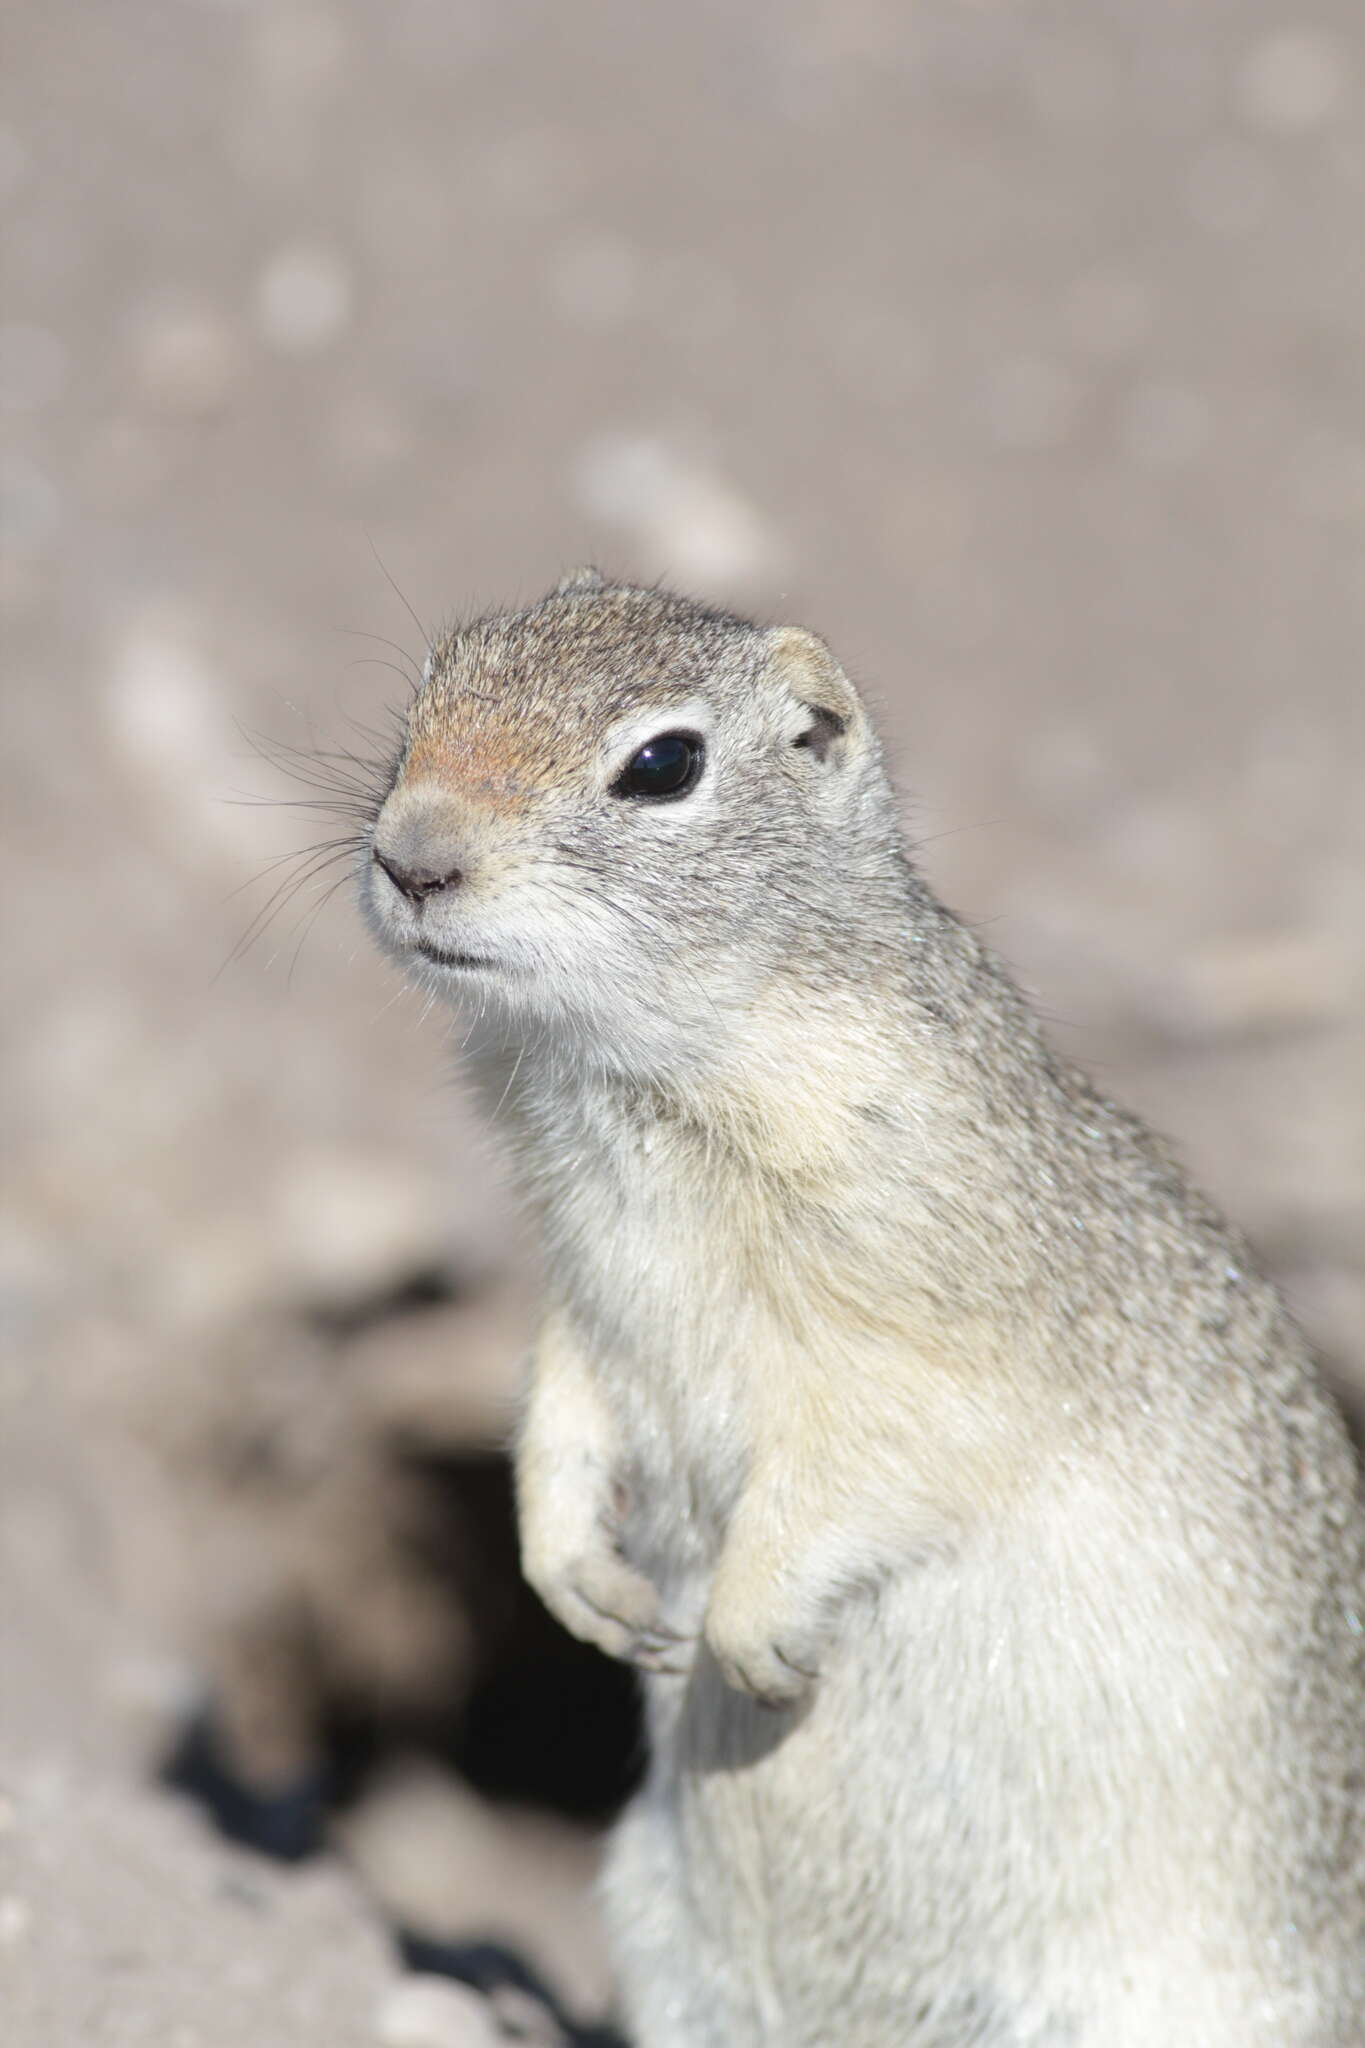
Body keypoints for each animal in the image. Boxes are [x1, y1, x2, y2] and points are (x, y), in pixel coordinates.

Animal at [358, 573, 1358, 2048]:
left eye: (662, 765)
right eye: (424, 698)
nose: (410, 854)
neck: (641, 1075)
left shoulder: (941, 1334)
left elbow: (869, 1458)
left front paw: (743, 1631)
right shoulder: (588, 1295)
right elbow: (561, 1409)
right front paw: (577, 1578)